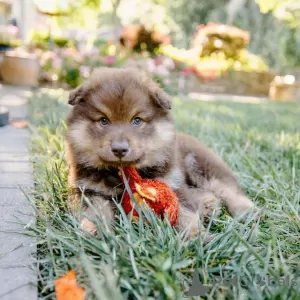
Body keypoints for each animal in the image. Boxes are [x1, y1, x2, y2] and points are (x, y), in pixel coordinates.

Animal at [65, 68, 255, 237]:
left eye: (137, 121)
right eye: (103, 121)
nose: (119, 149)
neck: (123, 173)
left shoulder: (172, 184)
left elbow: (186, 214)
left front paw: (197, 237)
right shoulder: (88, 190)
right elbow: (95, 213)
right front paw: (95, 232)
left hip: (202, 164)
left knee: (227, 189)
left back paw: (247, 212)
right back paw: (209, 205)